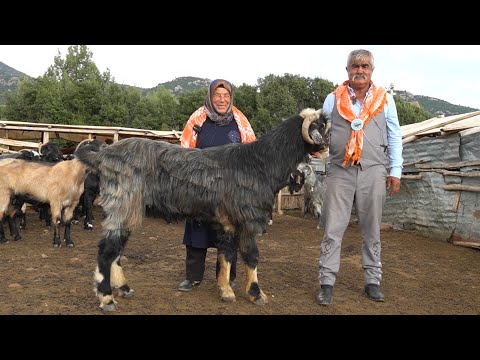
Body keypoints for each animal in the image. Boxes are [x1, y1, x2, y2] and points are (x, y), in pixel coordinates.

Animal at [76, 108, 330, 310]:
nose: (328, 149)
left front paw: (226, 290)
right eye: (321, 127)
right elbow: (251, 255)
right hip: (122, 204)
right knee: (107, 249)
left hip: (129, 209)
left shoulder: (228, 221)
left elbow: (226, 254)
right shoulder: (249, 219)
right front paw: (256, 294)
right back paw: (106, 298)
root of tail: (103, 155)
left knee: (117, 248)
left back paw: (123, 288)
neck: (261, 162)